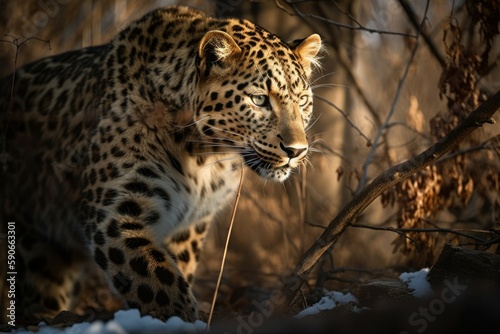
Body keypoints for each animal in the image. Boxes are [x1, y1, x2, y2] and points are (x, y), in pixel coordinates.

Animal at [0, 5, 320, 324]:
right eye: (259, 100)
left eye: (303, 101)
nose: (296, 150)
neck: (203, 153)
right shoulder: (113, 214)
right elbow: (157, 279)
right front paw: (183, 320)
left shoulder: (189, 224)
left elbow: (176, 270)